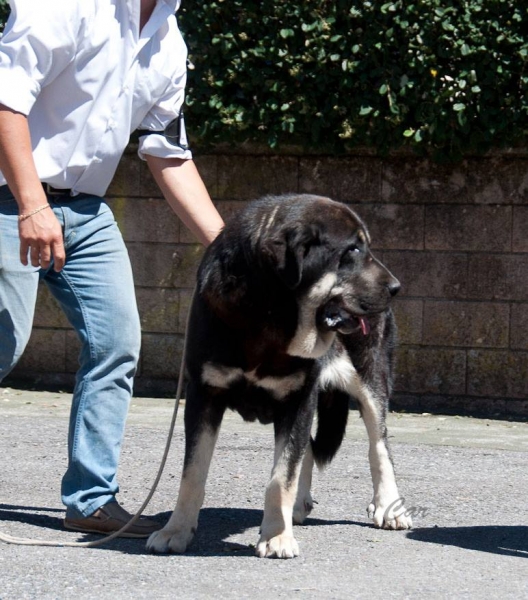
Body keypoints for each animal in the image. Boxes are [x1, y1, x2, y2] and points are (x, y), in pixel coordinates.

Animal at [147, 196, 412, 556]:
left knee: (379, 445)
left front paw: (276, 535)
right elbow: (193, 473)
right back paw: (298, 506)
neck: (268, 314)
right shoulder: (204, 396)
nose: (396, 287)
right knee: (310, 448)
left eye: (364, 247)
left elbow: (280, 477)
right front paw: (175, 530)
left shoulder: (297, 400)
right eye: (353, 250)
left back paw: (387, 505)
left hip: (370, 379)